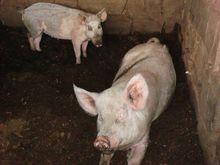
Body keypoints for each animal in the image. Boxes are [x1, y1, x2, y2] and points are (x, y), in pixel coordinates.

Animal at [73, 37, 176, 165]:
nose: (101, 140)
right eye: (101, 117)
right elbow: (105, 157)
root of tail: (156, 44)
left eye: (122, 115)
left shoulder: (144, 138)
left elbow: (135, 159)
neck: (124, 146)